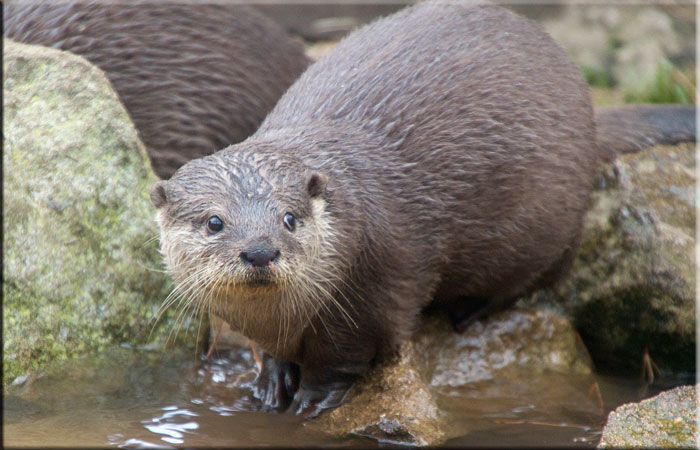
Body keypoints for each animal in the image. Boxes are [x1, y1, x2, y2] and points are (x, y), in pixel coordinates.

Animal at [149, 2, 696, 416]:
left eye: (289, 217)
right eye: (214, 221)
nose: (260, 250)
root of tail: (590, 114)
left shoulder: (369, 293)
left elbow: (344, 358)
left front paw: (313, 396)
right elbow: (271, 353)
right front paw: (271, 381)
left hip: (551, 218)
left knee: (544, 273)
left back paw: (469, 308)